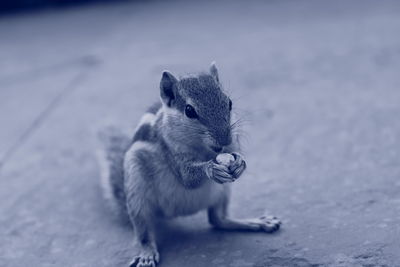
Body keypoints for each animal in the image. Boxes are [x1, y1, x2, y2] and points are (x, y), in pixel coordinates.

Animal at [97, 62, 280, 267]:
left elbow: (237, 154)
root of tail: (173, 213)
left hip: (223, 192)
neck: (204, 150)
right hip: (137, 191)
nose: (224, 138)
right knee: (144, 231)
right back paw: (147, 253)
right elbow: (187, 178)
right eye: (189, 110)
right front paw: (211, 168)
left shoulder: (233, 144)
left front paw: (240, 162)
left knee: (218, 219)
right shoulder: (171, 151)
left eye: (229, 102)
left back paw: (256, 222)